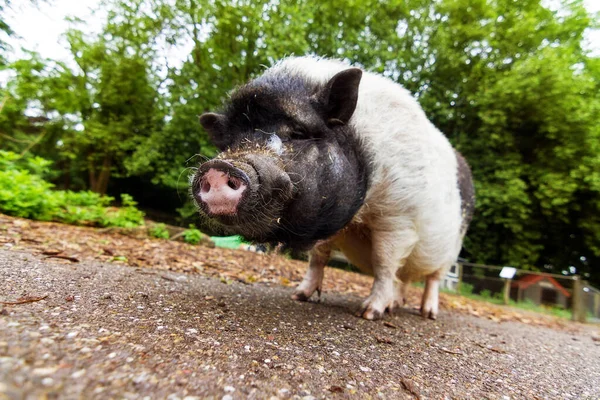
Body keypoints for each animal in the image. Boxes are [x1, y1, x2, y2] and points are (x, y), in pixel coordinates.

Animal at [192, 56, 474, 320]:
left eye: (299, 133)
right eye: (230, 142)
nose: (219, 166)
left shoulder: (398, 217)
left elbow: (383, 262)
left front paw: (368, 313)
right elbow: (318, 257)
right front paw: (298, 296)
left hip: (452, 249)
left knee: (432, 279)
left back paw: (428, 313)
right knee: (403, 278)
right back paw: (395, 305)